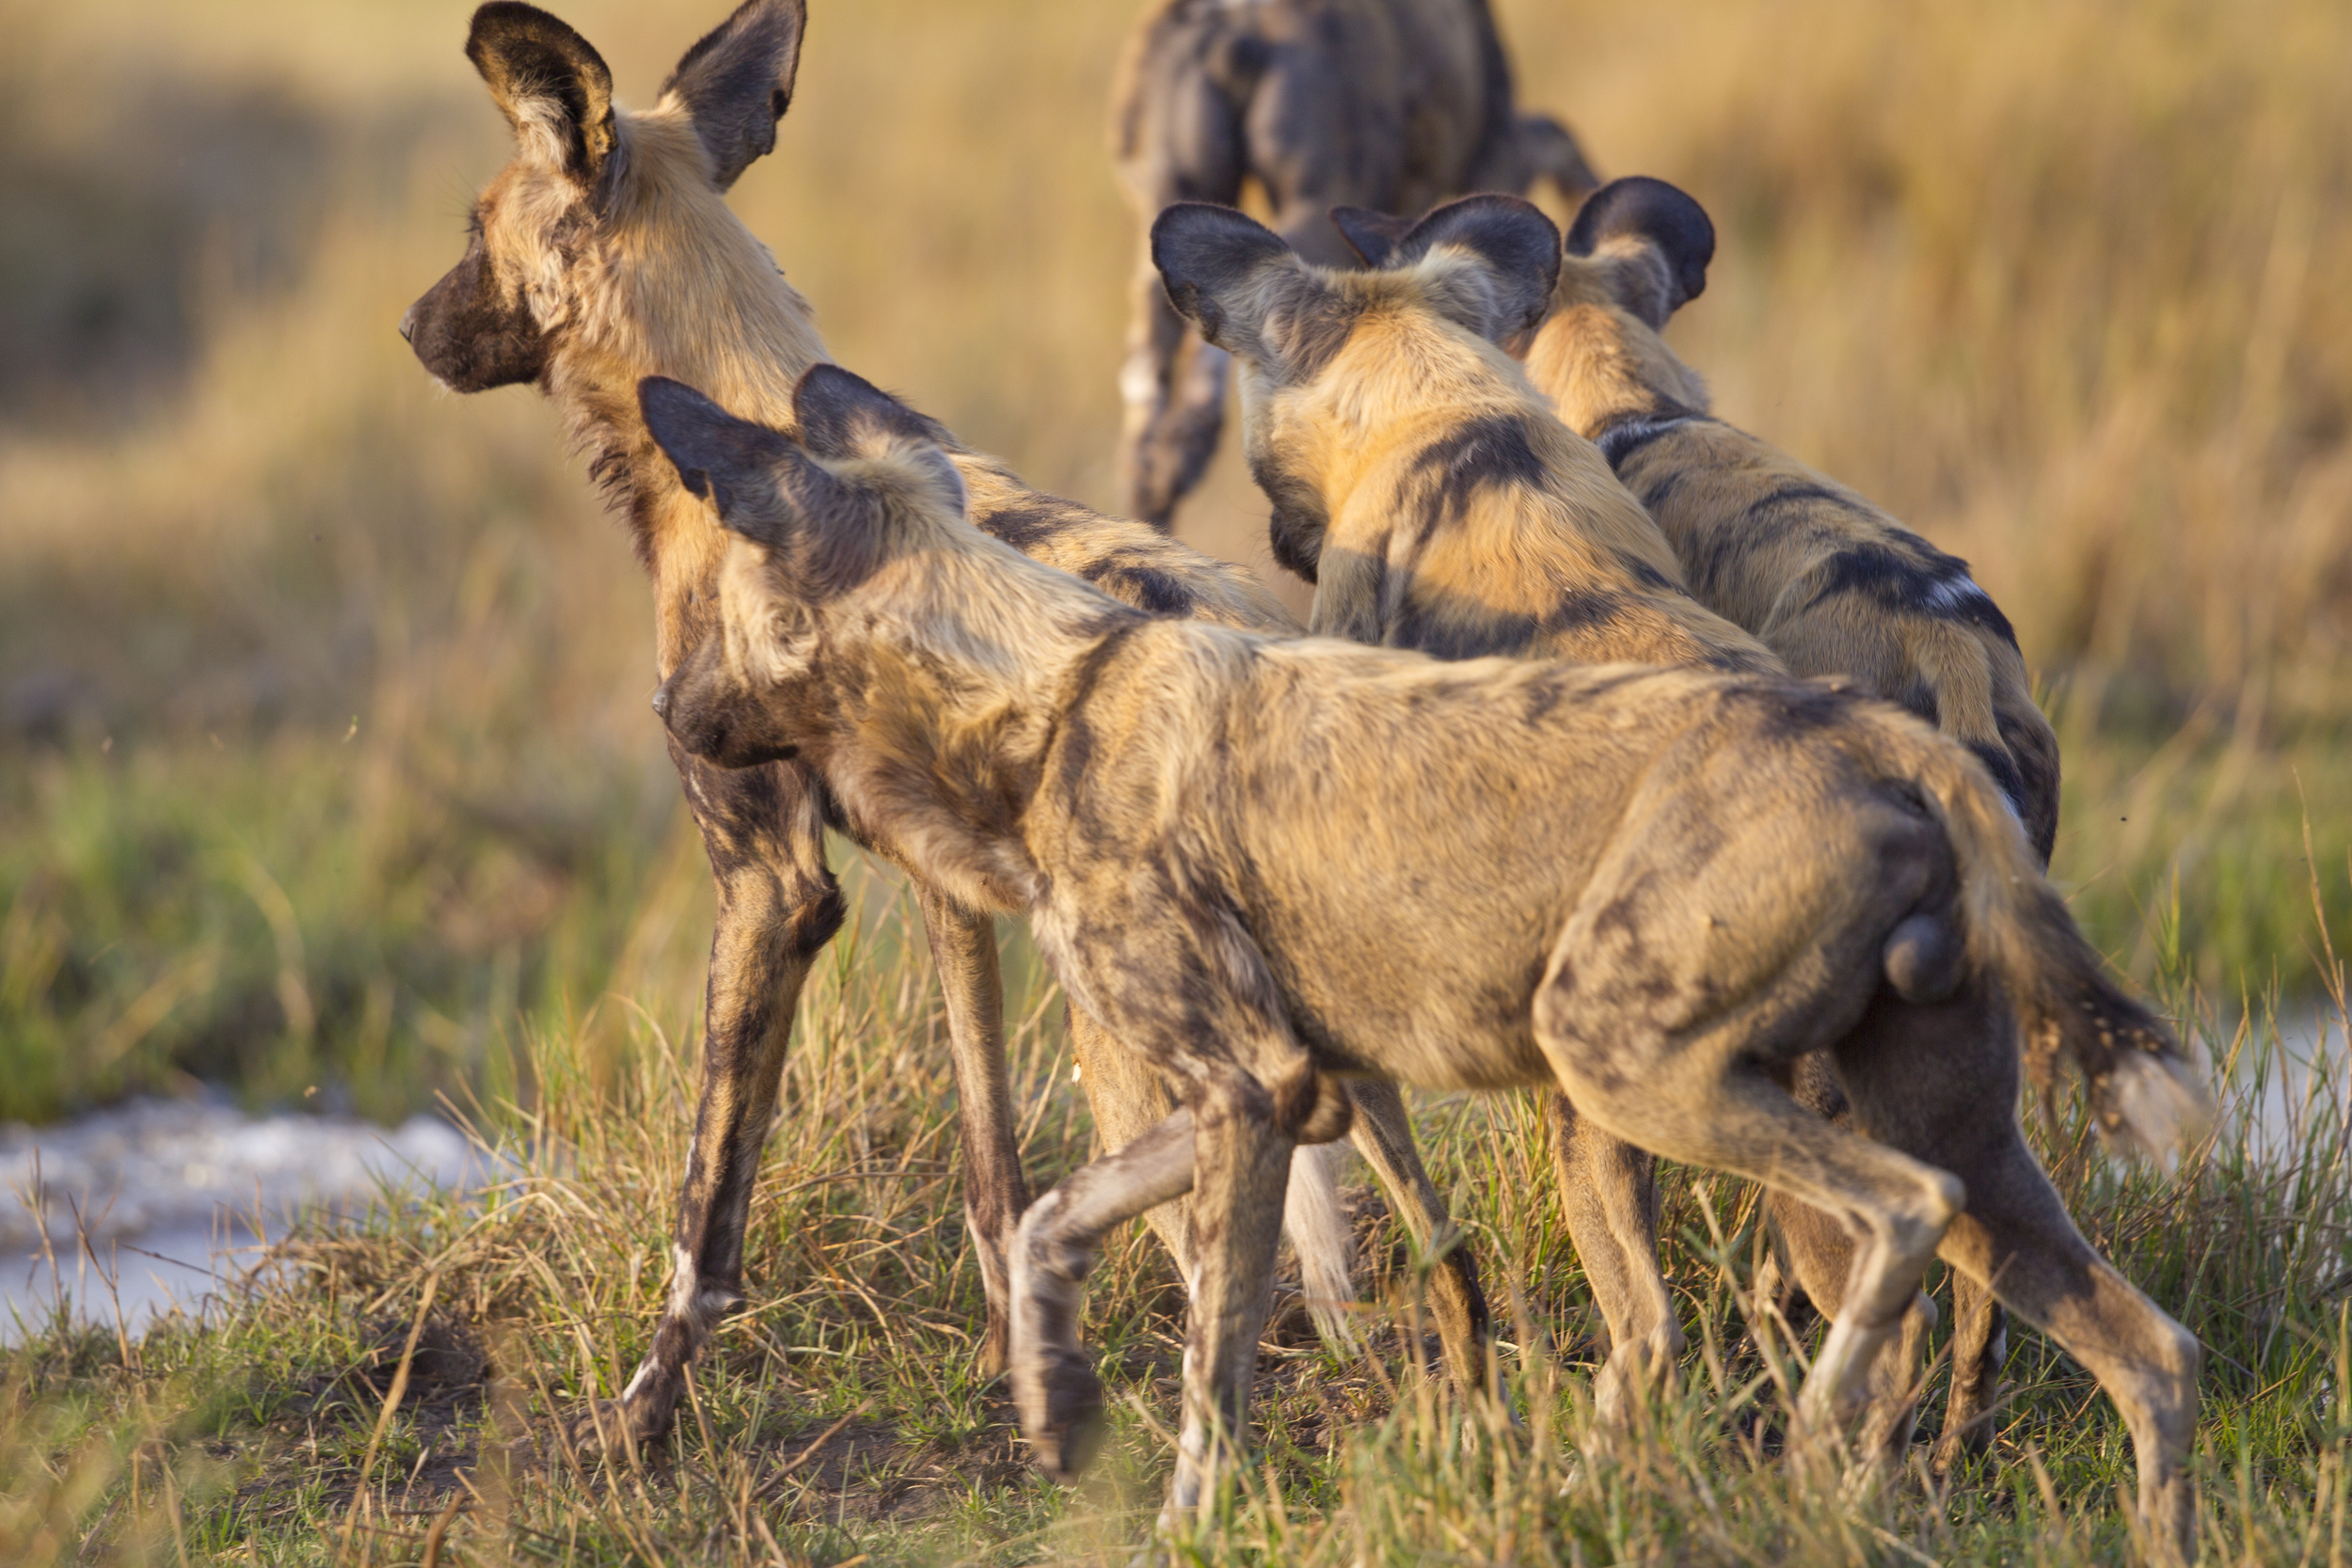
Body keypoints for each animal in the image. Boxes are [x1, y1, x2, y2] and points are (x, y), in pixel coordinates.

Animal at [397, 0, 1477, 1448]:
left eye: (473, 232)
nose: (413, 327)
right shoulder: (947, 890)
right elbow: (991, 1165)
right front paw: (1001, 1359)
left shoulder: (771, 885)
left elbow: (705, 1216)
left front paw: (642, 1417)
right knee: (1434, 1245)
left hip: (1142, 1050)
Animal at [640, 369, 2201, 1560]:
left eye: (719, 619)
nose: (668, 710)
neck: (1051, 693)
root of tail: (1889, 736)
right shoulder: (1288, 1088)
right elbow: (1045, 1220)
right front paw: (1057, 1402)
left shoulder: (1251, 1094)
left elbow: (1213, 1369)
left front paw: (1183, 1517)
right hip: (1972, 1148)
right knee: (2152, 1350)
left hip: (1640, 1068)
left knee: (1898, 1218)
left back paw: (1816, 1430)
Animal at [1105, 0, 1599, 531]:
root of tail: (1235, 22)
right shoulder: (1495, 157)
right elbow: (1558, 140)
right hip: (1313, 211)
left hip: (1164, 225)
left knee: (1151, 442)